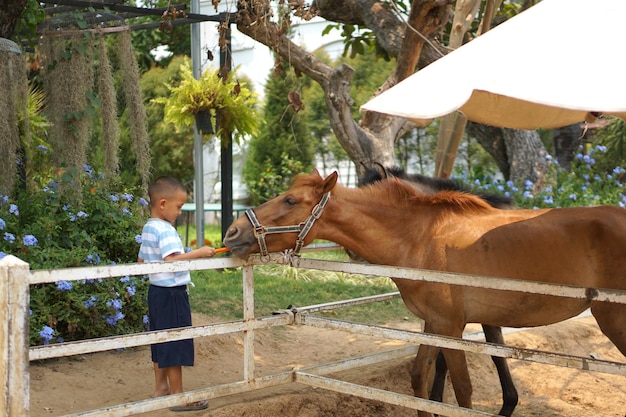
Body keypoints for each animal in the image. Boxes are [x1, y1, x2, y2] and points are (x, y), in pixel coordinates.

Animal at [223, 167, 624, 414]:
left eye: (290, 201)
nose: (231, 232)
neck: (420, 238)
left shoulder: (451, 327)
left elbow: (461, 391)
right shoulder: (434, 324)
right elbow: (420, 378)